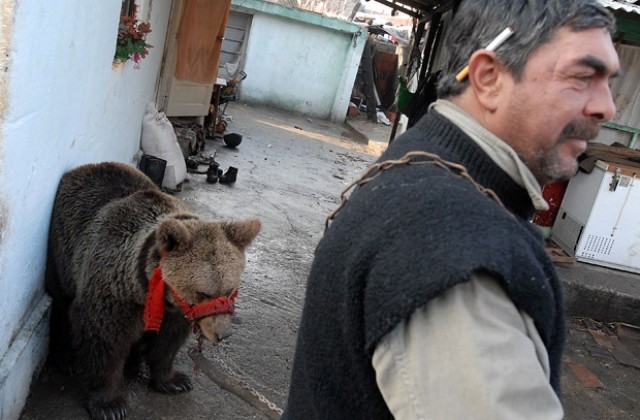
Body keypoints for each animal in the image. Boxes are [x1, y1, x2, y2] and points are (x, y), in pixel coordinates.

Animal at [44, 162, 262, 420]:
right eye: (203, 293)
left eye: (229, 290)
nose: (223, 334)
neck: (148, 289)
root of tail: (81, 169)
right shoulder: (114, 292)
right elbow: (103, 338)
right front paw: (110, 405)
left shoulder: (173, 311)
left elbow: (168, 341)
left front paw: (174, 380)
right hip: (64, 249)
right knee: (61, 303)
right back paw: (68, 358)